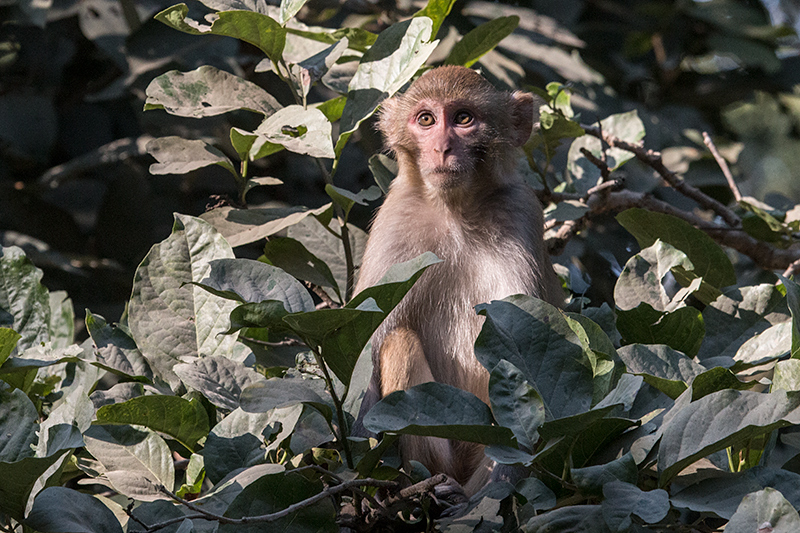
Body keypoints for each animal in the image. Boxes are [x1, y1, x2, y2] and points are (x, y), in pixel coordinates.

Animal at [356, 65, 564, 494]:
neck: (455, 212)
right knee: (399, 341)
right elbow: (368, 347)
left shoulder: (520, 212)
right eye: (426, 120)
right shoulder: (394, 222)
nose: (442, 148)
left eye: (463, 118)